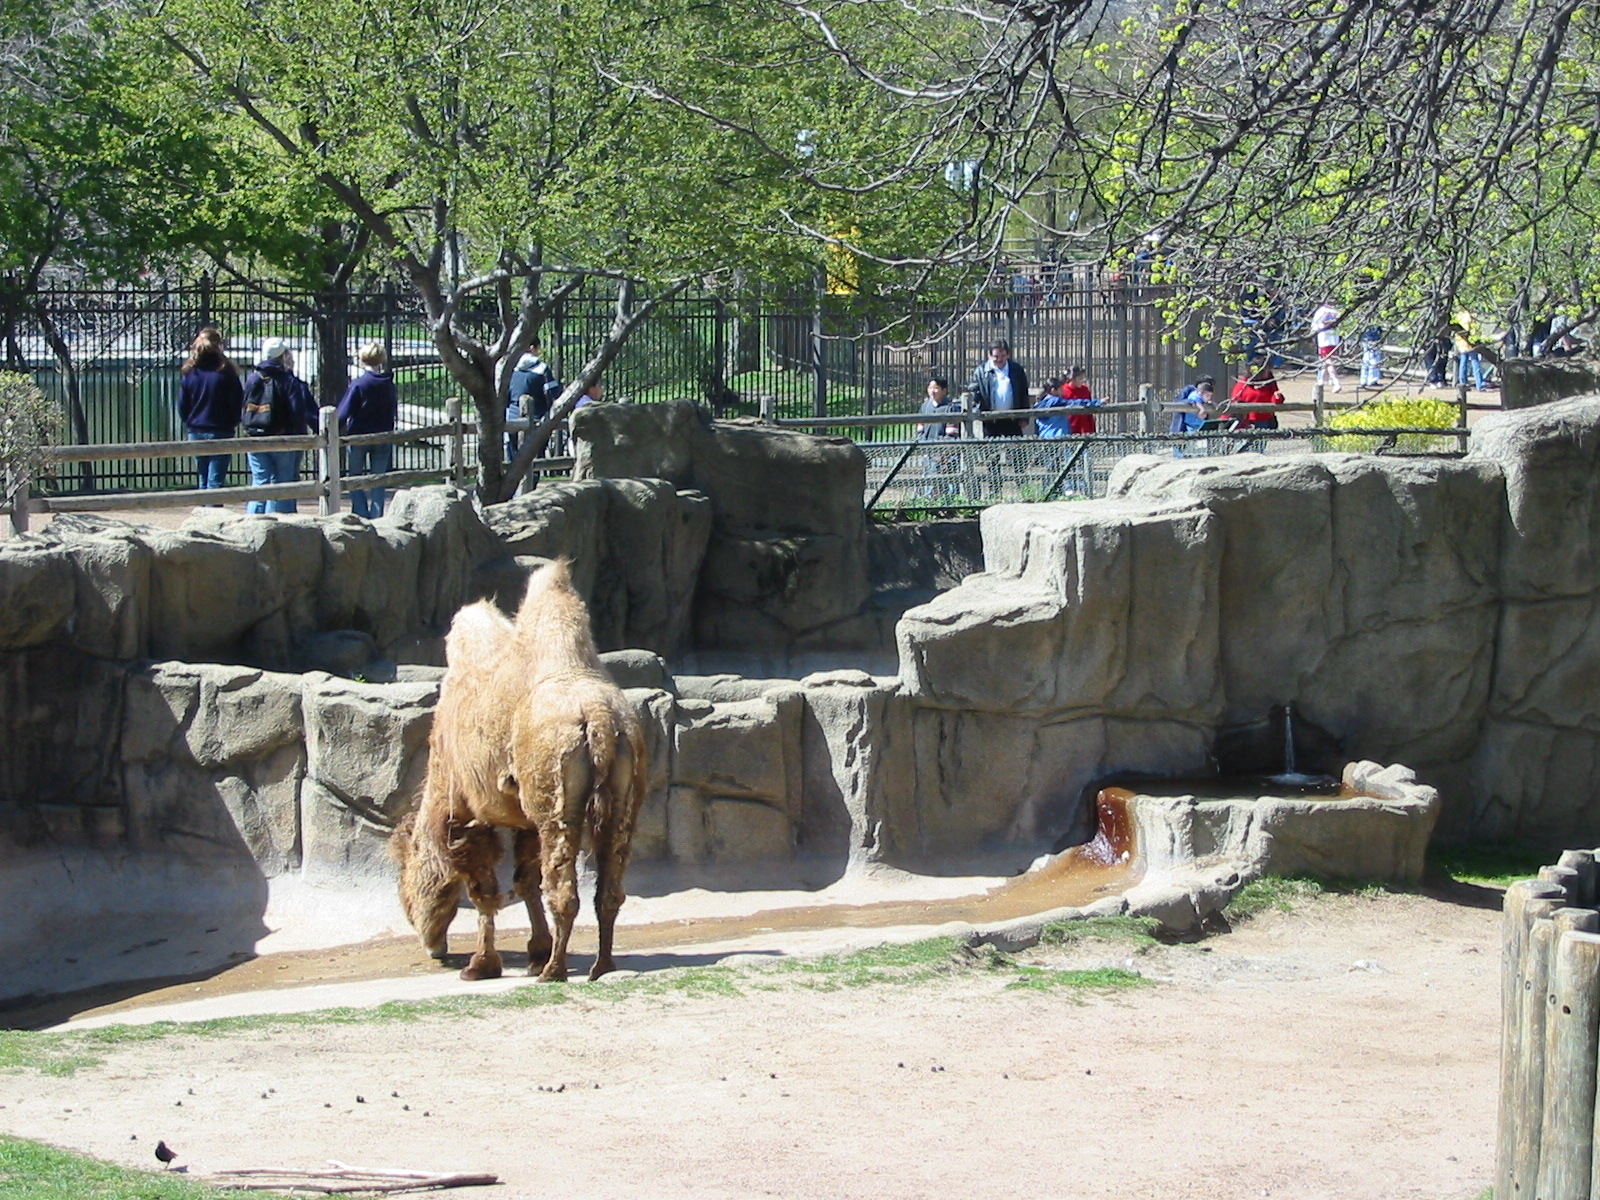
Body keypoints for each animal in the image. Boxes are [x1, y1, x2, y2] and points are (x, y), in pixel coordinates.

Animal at [393, 558, 648, 982]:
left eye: (405, 880)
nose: (432, 947)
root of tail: (597, 715)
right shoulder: (525, 821)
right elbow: (525, 881)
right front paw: (533, 952)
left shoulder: (466, 813)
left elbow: (484, 891)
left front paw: (482, 966)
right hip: (625, 782)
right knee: (609, 885)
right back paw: (601, 965)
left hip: (556, 793)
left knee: (563, 888)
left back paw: (555, 971)